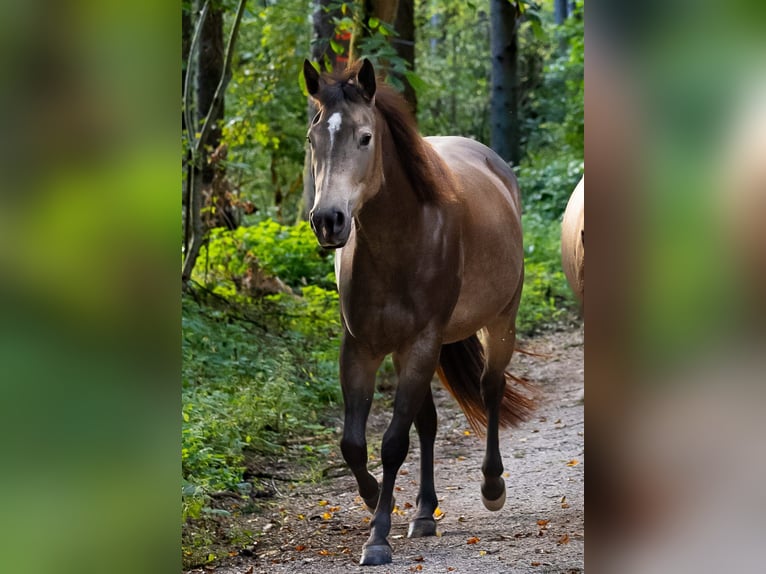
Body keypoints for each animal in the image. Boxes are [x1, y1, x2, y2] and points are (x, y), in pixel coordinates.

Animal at [302, 58, 534, 566]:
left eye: (365, 137)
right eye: (313, 139)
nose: (328, 221)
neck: (403, 241)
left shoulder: (422, 343)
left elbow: (392, 443)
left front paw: (377, 536)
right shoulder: (362, 348)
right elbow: (354, 443)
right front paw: (375, 499)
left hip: (498, 323)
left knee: (490, 389)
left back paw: (492, 485)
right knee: (427, 423)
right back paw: (425, 512)